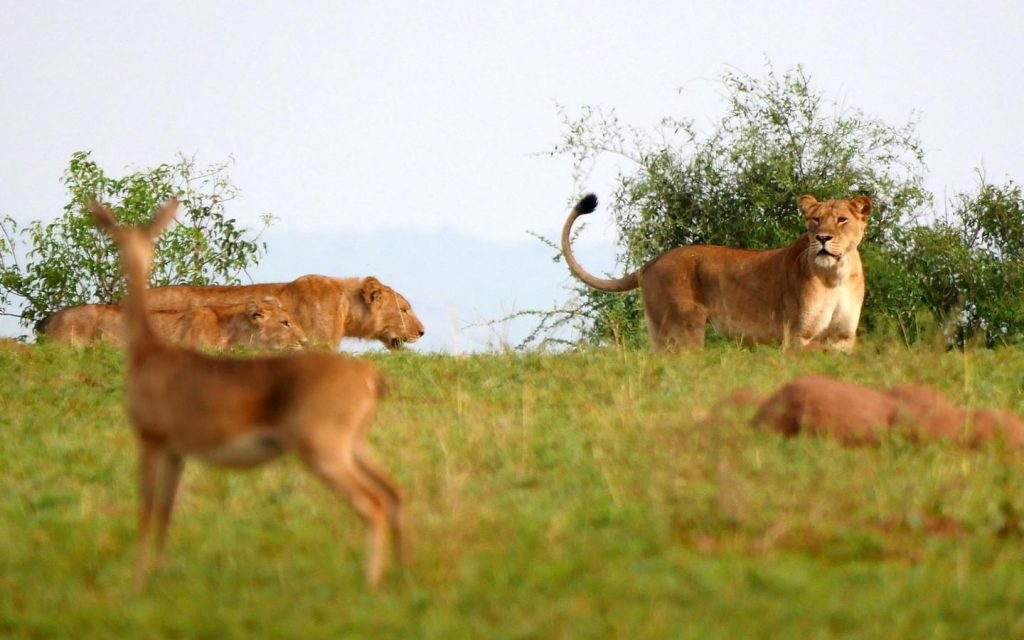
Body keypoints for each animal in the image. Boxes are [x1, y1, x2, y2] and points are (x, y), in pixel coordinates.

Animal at [561, 194, 872, 354]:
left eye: (842, 219)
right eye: (815, 220)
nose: (822, 238)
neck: (835, 277)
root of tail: (653, 261)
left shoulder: (843, 339)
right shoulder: (797, 336)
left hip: (660, 333)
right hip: (684, 330)